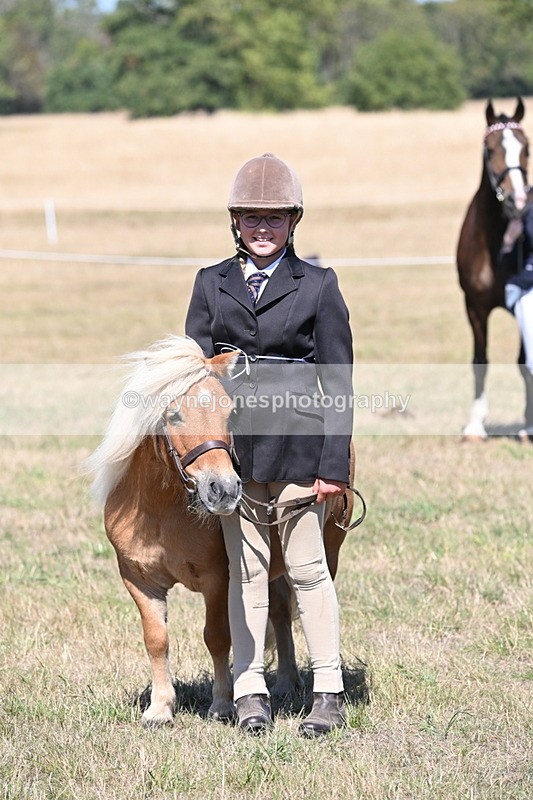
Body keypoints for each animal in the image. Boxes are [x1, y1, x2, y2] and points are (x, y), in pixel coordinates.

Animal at [85, 335, 355, 726]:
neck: (161, 511)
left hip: (325, 551)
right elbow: (157, 639)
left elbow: (216, 637)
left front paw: (223, 705)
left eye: (229, 412)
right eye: (173, 415)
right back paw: (285, 683)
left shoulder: (218, 580)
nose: (225, 488)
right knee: (279, 612)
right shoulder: (139, 580)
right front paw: (160, 708)